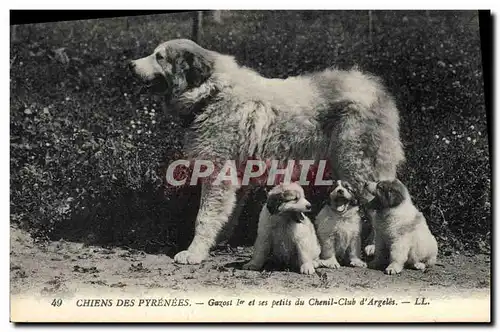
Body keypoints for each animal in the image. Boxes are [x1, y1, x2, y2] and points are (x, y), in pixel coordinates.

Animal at [131, 39, 404, 264]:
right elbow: (227, 213)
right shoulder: (237, 176)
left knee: (376, 204)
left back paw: (372, 247)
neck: (211, 93)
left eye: (159, 56)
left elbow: (204, 217)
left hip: (358, 167)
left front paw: (194, 252)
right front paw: (216, 242)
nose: (130, 65)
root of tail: (376, 89)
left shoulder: (217, 173)